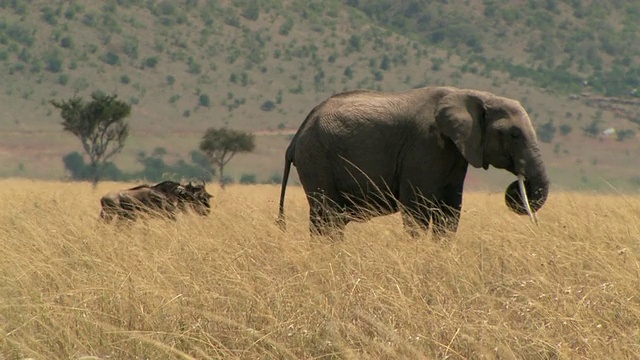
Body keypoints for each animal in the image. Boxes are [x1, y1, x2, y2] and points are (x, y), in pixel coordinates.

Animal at [276, 86, 552, 240]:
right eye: (514, 135)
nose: (517, 187)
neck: (475, 95)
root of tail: (296, 138)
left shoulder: (454, 153)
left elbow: (450, 211)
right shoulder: (423, 147)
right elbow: (416, 209)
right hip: (316, 159)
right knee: (329, 218)